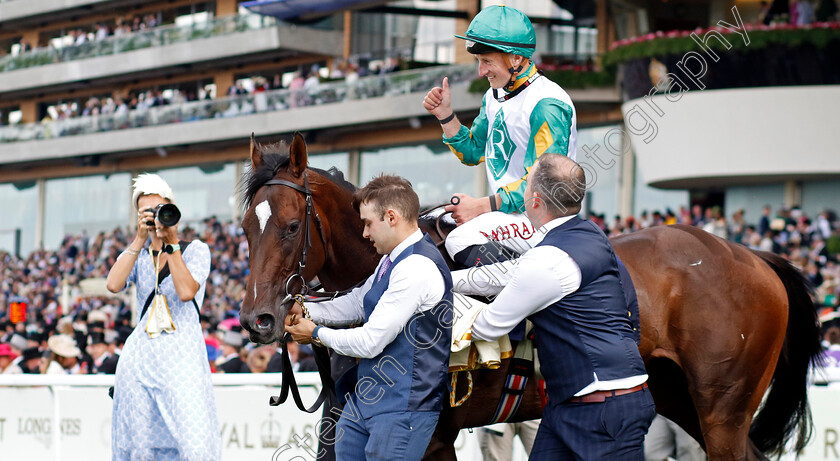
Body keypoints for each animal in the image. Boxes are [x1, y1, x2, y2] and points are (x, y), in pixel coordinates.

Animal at [236, 131, 820, 458]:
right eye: (244, 226)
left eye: (291, 226)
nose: (258, 320)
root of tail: (752, 256)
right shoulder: (345, 422)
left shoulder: (431, 432)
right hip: (678, 397)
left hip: (723, 407)